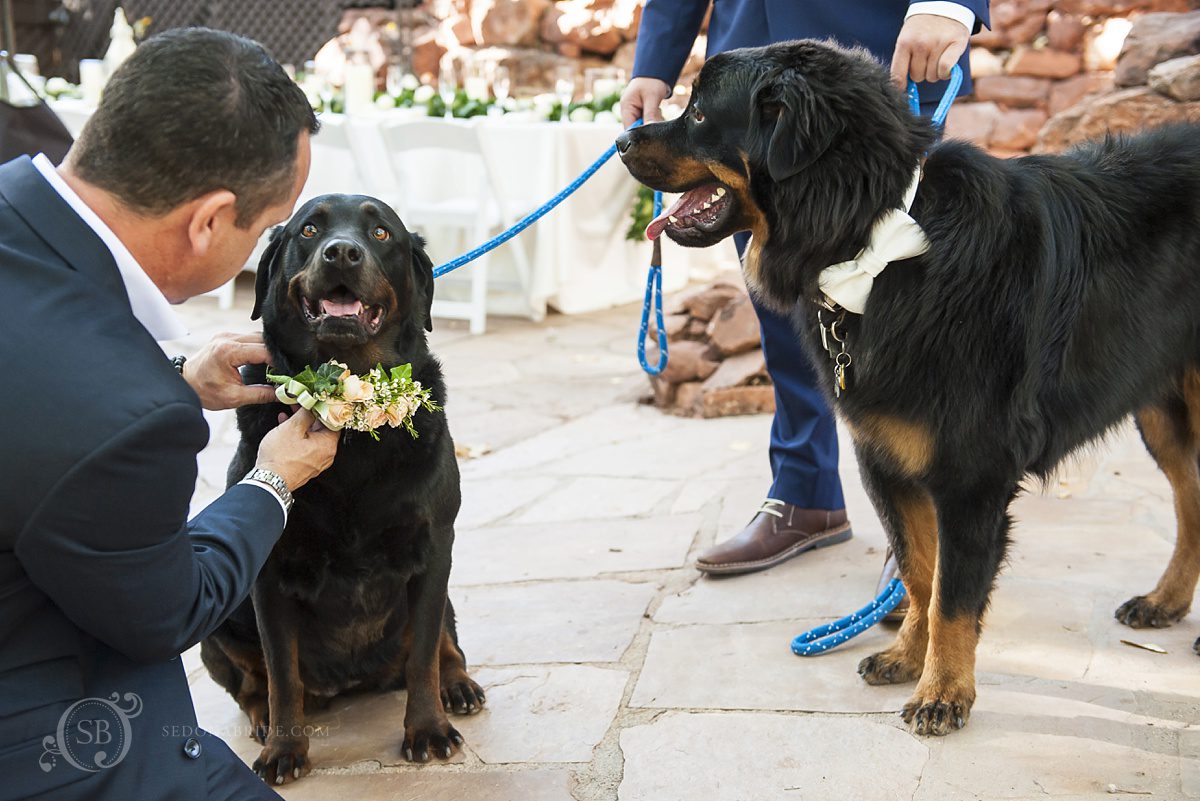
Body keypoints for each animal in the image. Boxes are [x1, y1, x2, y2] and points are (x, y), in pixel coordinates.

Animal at [199, 194, 480, 781]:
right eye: (309, 230)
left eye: (380, 232)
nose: (343, 253)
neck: (351, 424)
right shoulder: (268, 573)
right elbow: (282, 674)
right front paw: (284, 749)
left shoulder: (433, 547)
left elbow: (424, 652)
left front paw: (428, 728)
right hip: (219, 628)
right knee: (252, 684)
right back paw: (262, 719)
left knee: (444, 640)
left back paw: (458, 683)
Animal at [619, 40, 1200, 733]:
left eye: (701, 113)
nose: (622, 137)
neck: (877, 237)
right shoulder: (886, 455)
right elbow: (921, 573)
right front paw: (908, 653)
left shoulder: (971, 476)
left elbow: (954, 593)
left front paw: (943, 692)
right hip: (1163, 413)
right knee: (1192, 503)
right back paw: (1166, 601)